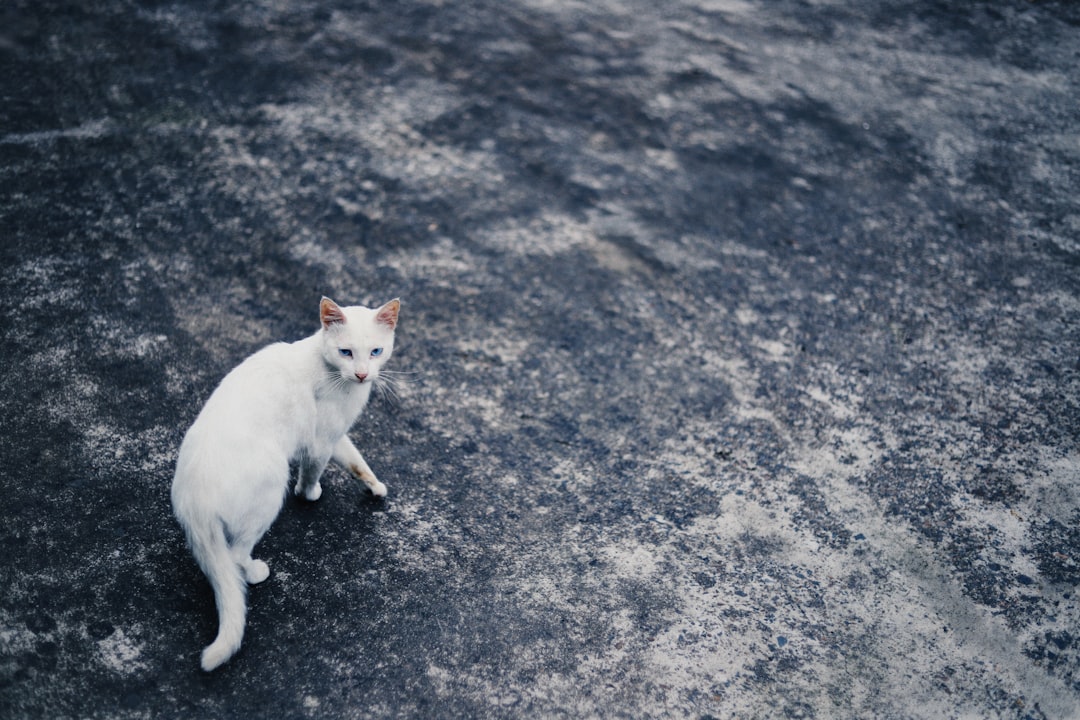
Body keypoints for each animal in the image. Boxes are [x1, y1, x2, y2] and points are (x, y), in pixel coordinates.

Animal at [172, 295, 401, 673]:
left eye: (376, 351)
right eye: (346, 352)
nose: (362, 373)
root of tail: (194, 502)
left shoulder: (336, 436)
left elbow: (355, 459)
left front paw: (374, 485)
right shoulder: (320, 441)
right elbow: (313, 471)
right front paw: (309, 494)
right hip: (271, 484)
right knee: (235, 555)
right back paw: (255, 571)